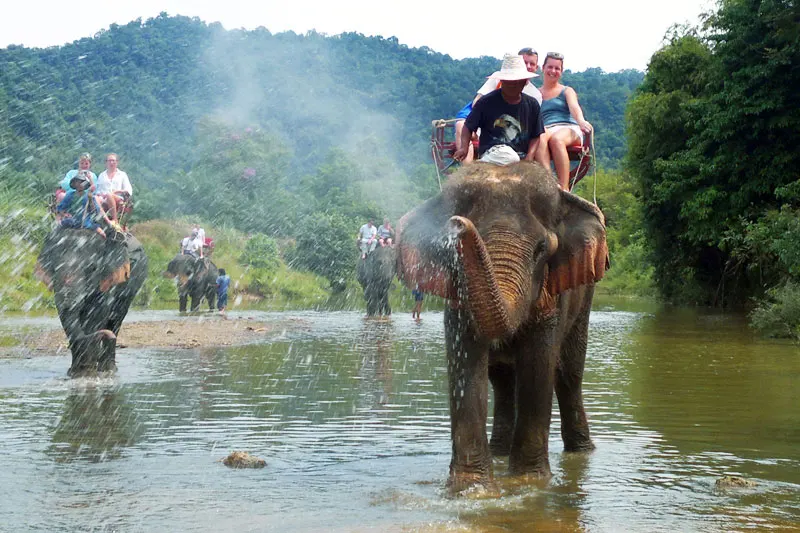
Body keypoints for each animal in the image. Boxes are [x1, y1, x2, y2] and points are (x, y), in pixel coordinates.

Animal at [35, 227, 148, 377]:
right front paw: (76, 373)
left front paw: (88, 371)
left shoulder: (109, 277)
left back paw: (109, 369)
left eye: (92, 268)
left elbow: (98, 312)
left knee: (116, 318)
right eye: (54, 268)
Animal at [396, 162, 608, 493]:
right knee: (503, 380)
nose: (458, 224)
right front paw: (471, 490)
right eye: (452, 250)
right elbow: (467, 367)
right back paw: (499, 452)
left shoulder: (553, 297)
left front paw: (528, 483)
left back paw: (581, 452)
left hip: (585, 297)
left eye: (541, 249)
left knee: (568, 374)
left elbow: (539, 366)